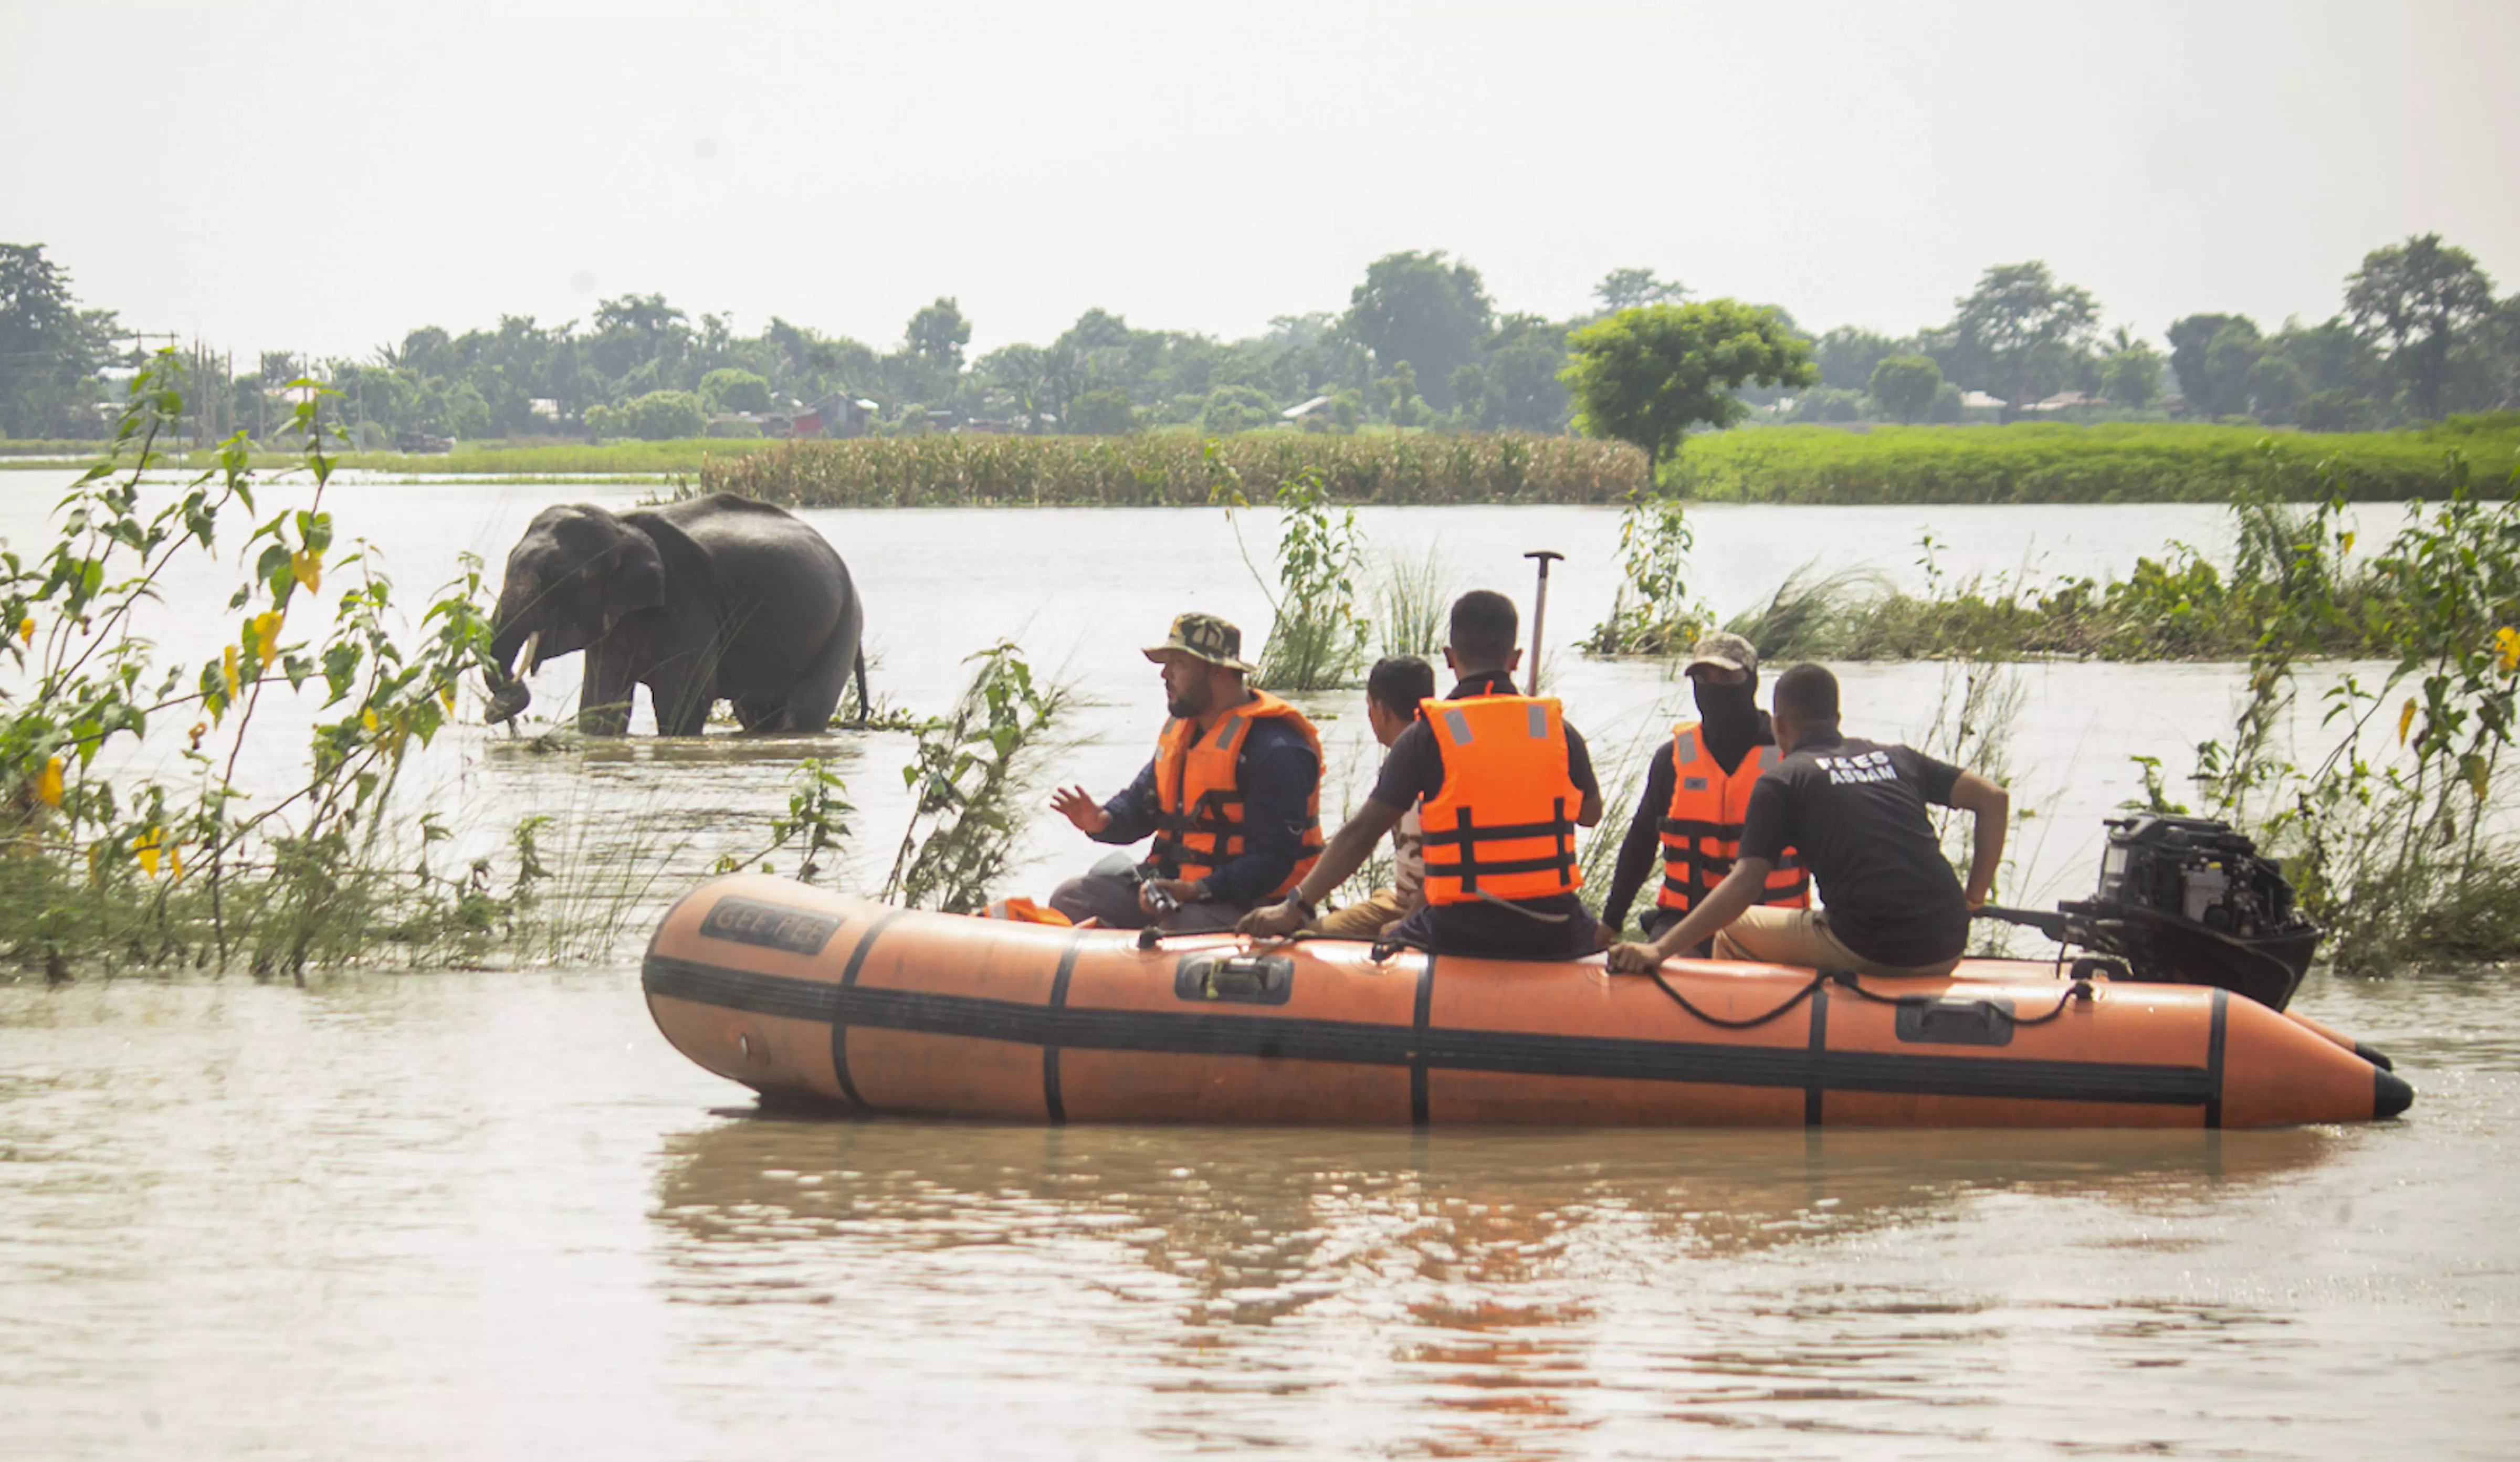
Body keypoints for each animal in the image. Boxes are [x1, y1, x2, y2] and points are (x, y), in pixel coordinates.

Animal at [486, 496, 872, 736]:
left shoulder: (688, 598)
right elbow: (601, 703)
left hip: (843, 624)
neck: (620, 526)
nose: (497, 710)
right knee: (756, 712)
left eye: (557, 577)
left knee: (805, 710)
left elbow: (682, 703)